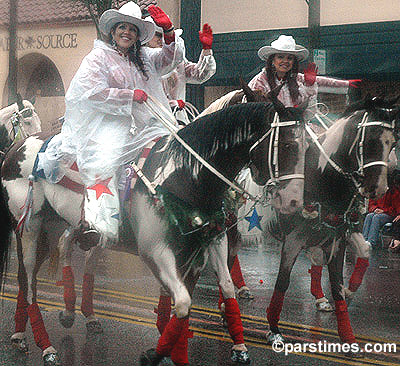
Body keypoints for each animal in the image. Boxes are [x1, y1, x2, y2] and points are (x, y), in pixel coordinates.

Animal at [0, 98, 308, 366]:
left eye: (307, 147)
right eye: (288, 144)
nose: (295, 201)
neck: (184, 176)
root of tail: (16, 149)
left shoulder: (211, 242)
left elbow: (222, 290)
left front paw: (237, 347)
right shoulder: (156, 251)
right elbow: (182, 302)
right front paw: (155, 353)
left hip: (55, 226)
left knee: (45, 267)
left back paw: (43, 325)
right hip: (29, 228)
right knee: (27, 279)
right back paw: (44, 344)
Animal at [262, 96, 400, 348]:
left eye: (393, 142)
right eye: (372, 140)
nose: (379, 187)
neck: (321, 177)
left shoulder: (338, 235)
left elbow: (347, 270)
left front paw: (346, 319)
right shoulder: (293, 239)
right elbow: (283, 281)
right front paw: (273, 328)